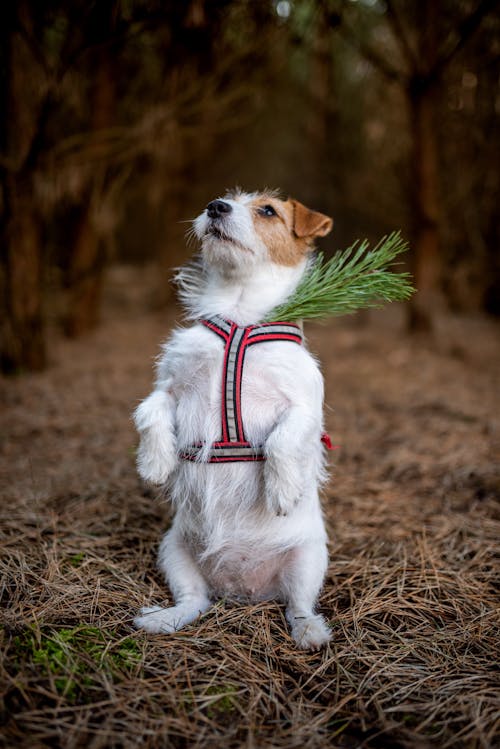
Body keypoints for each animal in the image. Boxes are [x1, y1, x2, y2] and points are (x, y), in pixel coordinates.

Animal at [135, 188, 334, 648]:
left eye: (268, 211)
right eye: (223, 200)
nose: (215, 207)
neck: (240, 314)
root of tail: (243, 590)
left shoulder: (304, 407)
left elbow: (282, 439)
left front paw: (282, 490)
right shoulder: (170, 385)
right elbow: (149, 410)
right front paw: (156, 463)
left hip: (309, 559)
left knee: (297, 606)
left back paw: (310, 632)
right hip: (174, 551)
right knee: (194, 601)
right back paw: (162, 619)